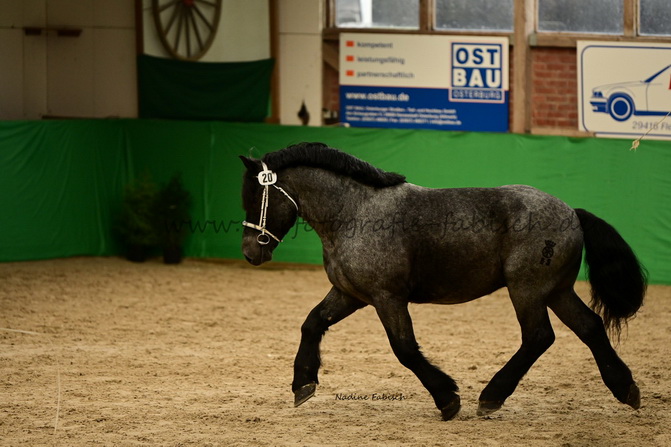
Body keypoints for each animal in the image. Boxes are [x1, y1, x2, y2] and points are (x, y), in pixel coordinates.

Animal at [239, 142, 646, 420]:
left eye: (256, 197)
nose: (249, 251)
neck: (355, 212)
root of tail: (571, 213)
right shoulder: (349, 294)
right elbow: (312, 323)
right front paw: (302, 384)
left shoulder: (387, 298)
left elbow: (404, 349)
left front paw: (447, 398)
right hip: (557, 290)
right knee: (590, 326)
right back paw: (625, 388)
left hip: (527, 290)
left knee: (538, 337)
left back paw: (492, 396)